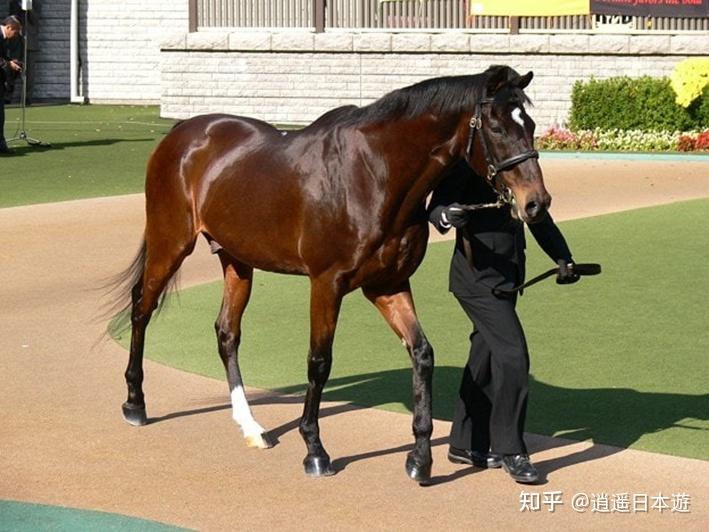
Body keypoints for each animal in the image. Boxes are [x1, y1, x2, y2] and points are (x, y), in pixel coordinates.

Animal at [116, 64, 552, 484]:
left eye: (529, 124)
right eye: (497, 126)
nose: (537, 202)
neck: (374, 175)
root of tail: (183, 133)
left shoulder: (388, 285)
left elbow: (422, 354)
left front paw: (420, 459)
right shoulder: (326, 283)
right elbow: (319, 361)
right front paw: (315, 450)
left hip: (236, 259)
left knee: (227, 332)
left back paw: (251, 426)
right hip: (170, 242)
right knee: (142, 307)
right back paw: (135, 403)